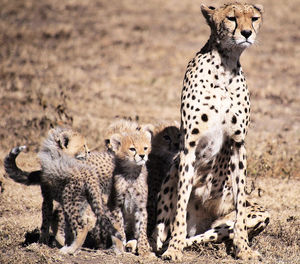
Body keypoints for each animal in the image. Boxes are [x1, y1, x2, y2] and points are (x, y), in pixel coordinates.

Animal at [156, 3, 266, 260]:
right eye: (231, 18)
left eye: (254, 18)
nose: (247, 33)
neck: (225, 65)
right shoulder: (189, 145)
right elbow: (180, 205)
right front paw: (173, 249)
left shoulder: (238, 143)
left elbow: (240, 211)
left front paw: (244, 250)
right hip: (173, 169)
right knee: (163, 230)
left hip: (259, 213)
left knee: (210, 233)